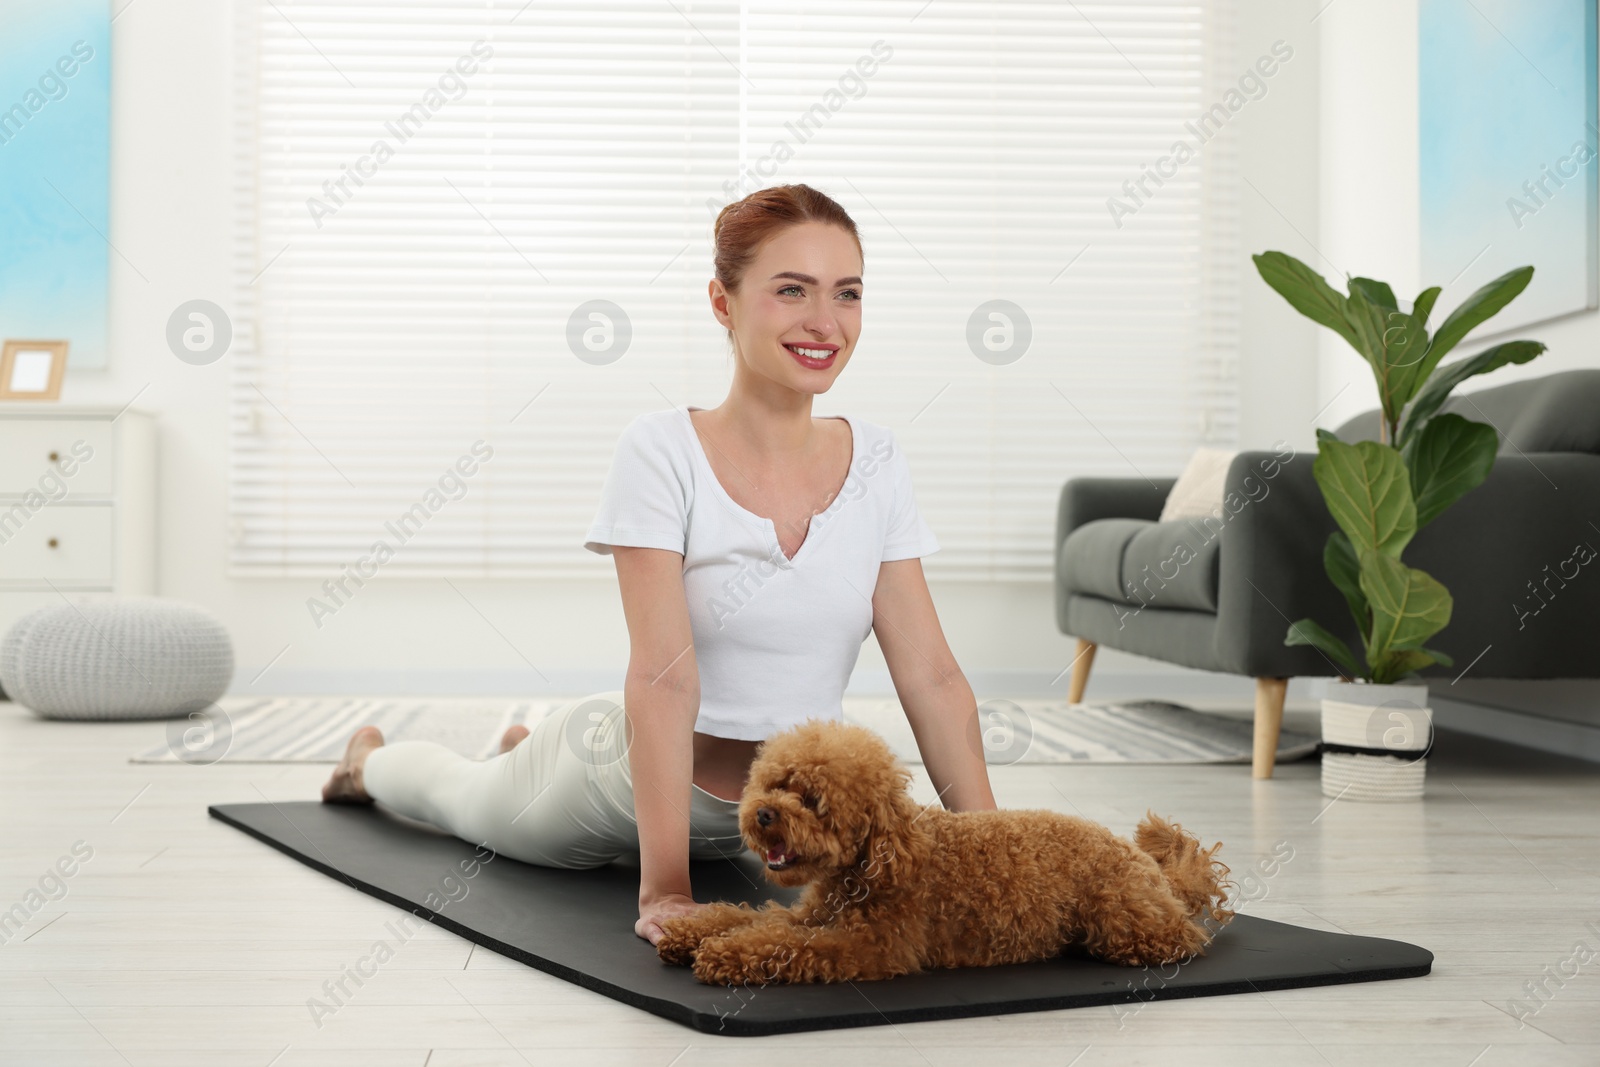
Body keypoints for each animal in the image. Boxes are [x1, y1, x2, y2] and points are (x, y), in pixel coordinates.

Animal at [656, 716, 1228, 985]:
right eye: (774, 783)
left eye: (813, 800)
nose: (763, 814)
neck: (875, 860)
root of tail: (1150, 867)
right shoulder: (812, 916)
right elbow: (749, 916)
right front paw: (689, 932)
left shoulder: (873, 945)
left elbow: (781, 944)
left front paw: (723, 954)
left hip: (1121, 917)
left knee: (1182, 939)